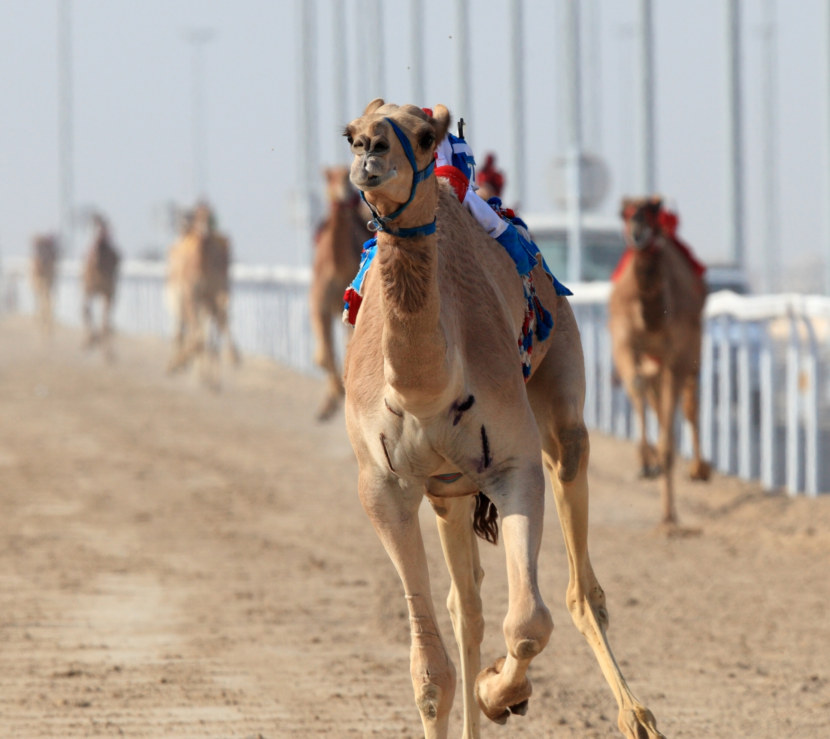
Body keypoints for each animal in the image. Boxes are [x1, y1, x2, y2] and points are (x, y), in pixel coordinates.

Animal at [81, 212, 121, 360]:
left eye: (104, 225)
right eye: (95, 224)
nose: (102, 236)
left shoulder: (107, 292)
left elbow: (104, 321)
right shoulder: (89, 289)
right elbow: (85, 310)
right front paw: (90, 341)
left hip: (111, 292)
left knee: (107, 319)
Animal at [164, 204, 239, 388]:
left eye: (209, 215)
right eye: (197, 215)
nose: (204, 230)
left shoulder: (214, 294)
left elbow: (209, 332)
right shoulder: (192, 296)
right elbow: (198, 336)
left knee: (205, 332)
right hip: (187, 301)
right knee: (186, 332)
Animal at [342, 99, 668, 739]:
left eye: (423, 135)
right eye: (349, 133)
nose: (370, 150)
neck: (426, 389)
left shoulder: (514, 464)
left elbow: (529, 623)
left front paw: (500, 695)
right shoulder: (382, 486)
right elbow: (430, 673)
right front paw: (485, 693)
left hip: (559, 388)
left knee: (579, 585)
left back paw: (635, 714)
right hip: (447, 488)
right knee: (464, 606)